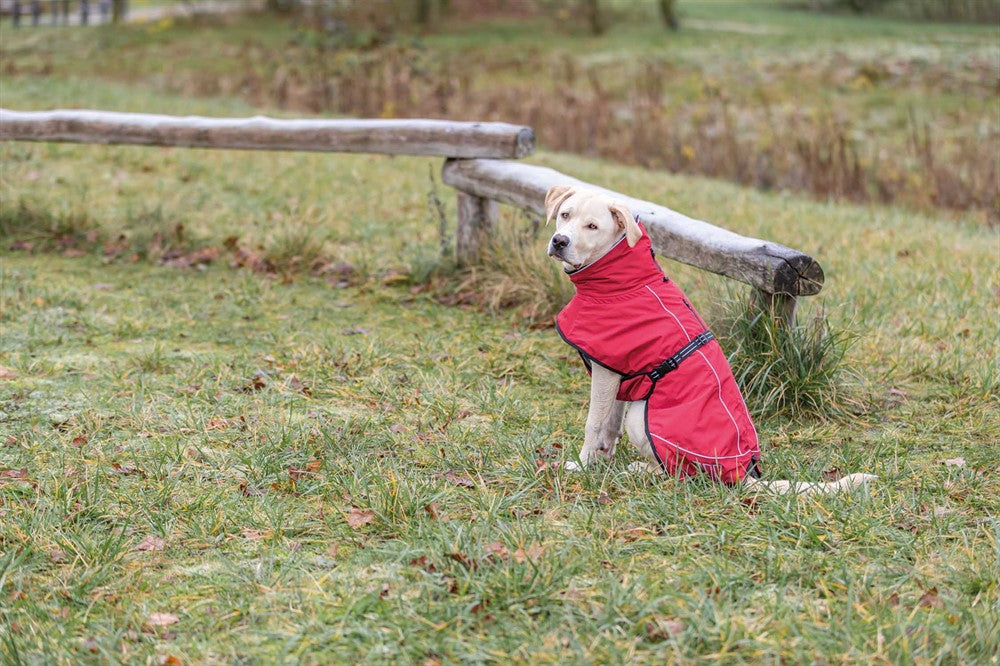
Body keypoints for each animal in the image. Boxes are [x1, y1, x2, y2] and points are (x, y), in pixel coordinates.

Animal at [548, 184, 876, 496]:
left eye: (592, 226)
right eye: (565, 214)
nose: (559, 241)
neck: (620, 281)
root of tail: (741, 473)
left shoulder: (605, 373)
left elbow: (594, 423)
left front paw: (581, 465)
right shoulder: (615, 370)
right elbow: (609, 425)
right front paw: (600, 461)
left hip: (642, 415)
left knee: (681, 473)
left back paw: (641, 471)